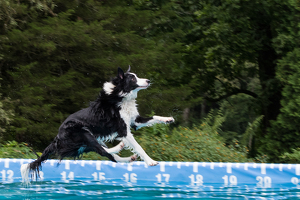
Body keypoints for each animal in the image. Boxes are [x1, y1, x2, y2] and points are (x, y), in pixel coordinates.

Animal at [21, 67, 175, 181]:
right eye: (132, 78)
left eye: (136, 76)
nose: (148, 80)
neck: (120, 96)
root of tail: (57, 138)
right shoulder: (123, 130)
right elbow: (138, 147)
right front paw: (150, 161)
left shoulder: (134, 121)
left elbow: (154, 117)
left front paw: (168, 119)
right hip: (83, 132)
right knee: (102, 150)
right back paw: (119, 147)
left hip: (84, 142)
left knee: (109, 156)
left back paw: (126, 155)